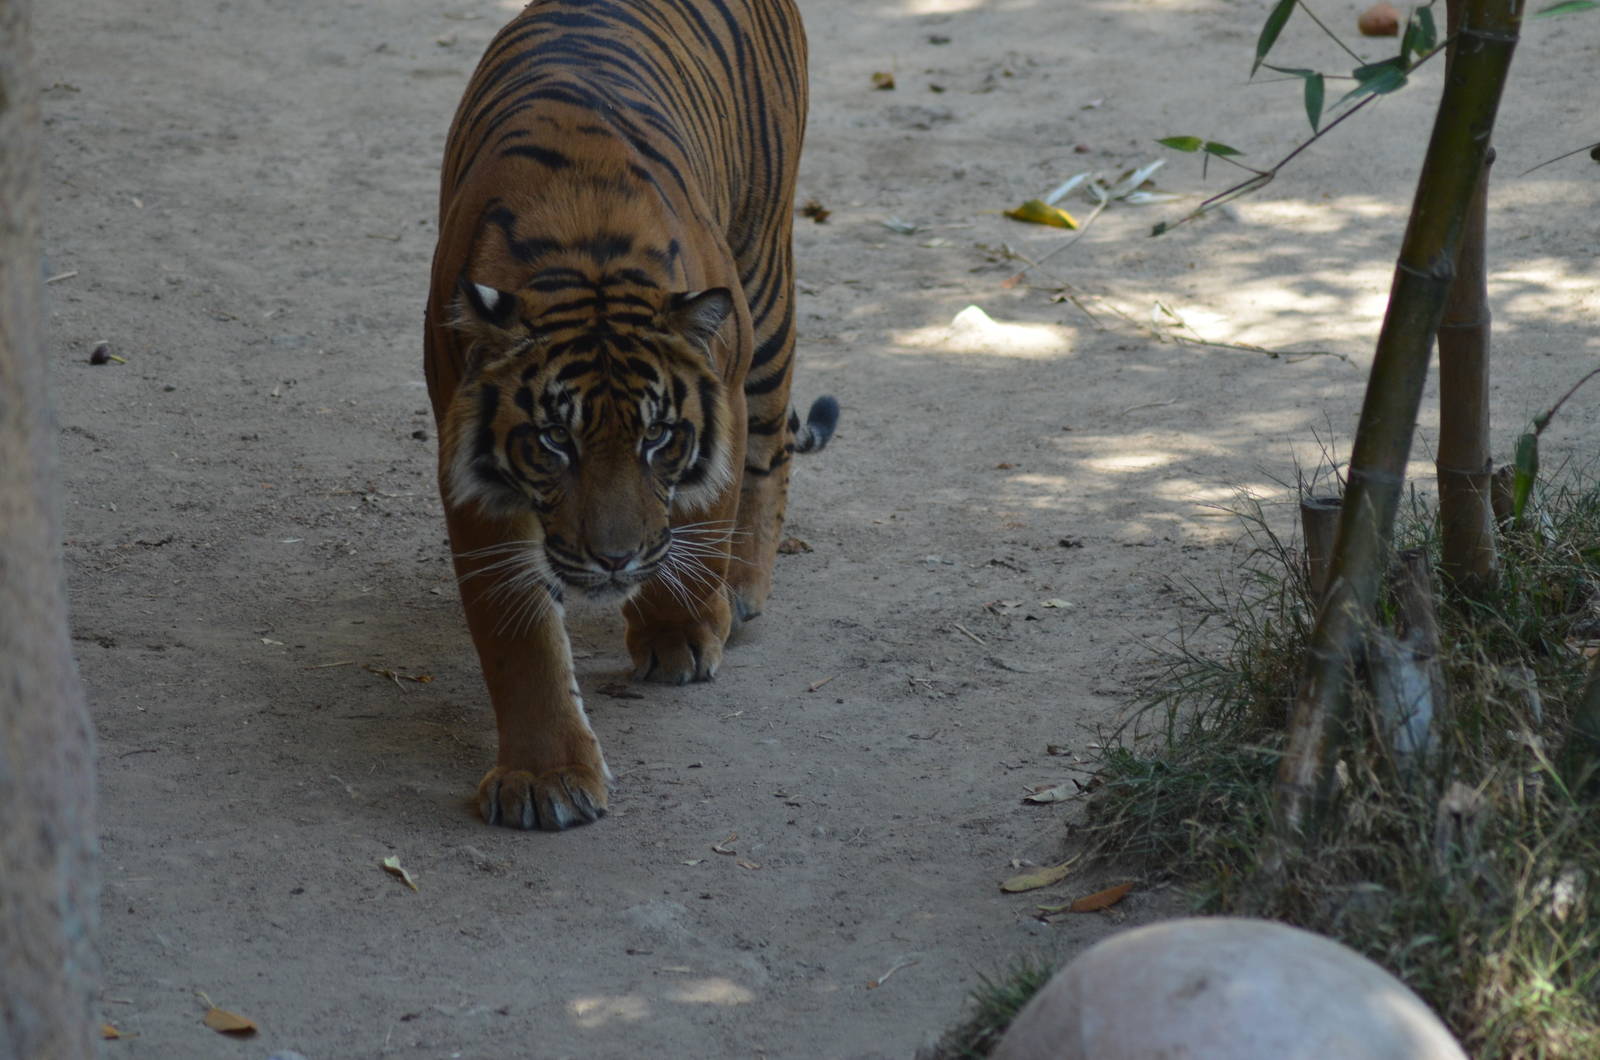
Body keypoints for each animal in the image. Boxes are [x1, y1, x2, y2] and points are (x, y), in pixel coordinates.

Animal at [423, 0, 837, 831]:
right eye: (555, 440)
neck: (585, 249)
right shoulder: (471, 461)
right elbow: (516, 631)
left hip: (766, 279)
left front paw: (682, 634)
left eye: (658, 437)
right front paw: (545, 778)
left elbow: (704, 518)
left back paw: (743, 588)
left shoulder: (724, 385)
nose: (614, 561)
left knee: (769, 451)